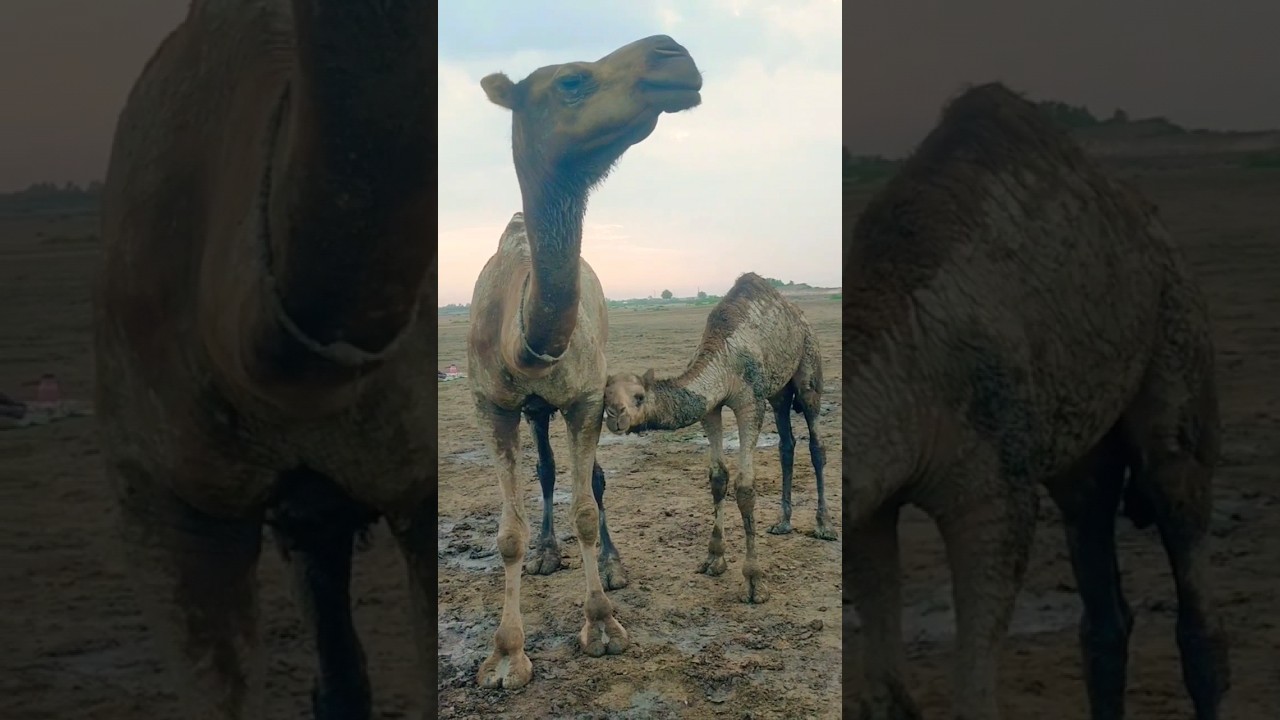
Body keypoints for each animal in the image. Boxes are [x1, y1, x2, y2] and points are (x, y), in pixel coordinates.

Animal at [467, 35, 703, 690]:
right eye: (572, 81)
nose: (673, 52)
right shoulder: (491, 405)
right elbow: (509, 534)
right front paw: (506, 655)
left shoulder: (587, 398)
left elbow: (589, 509)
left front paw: (602, 623)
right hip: (533, 411)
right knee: (547, 471)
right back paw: (547, 554)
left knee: (589, 482)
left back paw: (614, 566)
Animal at [603, 272, 834, 605]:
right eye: (605, 397)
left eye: (639, 397)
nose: (614, 416)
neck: (723, 360)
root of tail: (799, 316)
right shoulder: (710, 407)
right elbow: (717, 478)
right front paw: (714, 559)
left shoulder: (750, 401)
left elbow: (745, 488)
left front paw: (754, 583)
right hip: (778, 391)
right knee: (786, 444)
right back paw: (783, 522)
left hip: (808, 366)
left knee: (816, 443)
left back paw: (824, 525)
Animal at [844, 82, 1229, 720]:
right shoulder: (870, 506)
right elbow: (885, 694)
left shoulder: (993, 491)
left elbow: (973, 698)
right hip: (1079, 433)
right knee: (1098, 570)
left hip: (1176, 325)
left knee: (1179, 503)